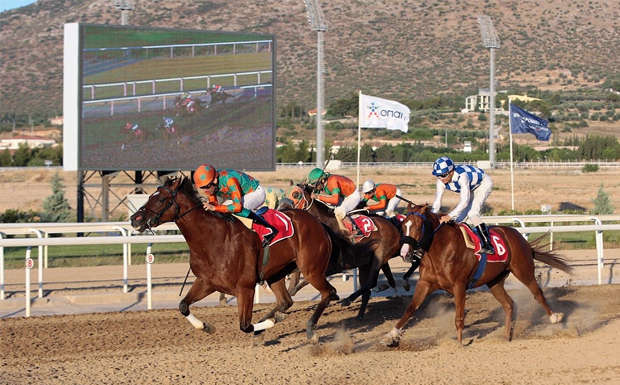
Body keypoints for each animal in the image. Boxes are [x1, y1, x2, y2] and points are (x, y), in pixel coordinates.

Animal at [128, 176, 370, 344]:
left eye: (161, 198)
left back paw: (310, 330)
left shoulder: (244, 288)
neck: (212, 239)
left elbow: (244, 325)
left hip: (312, 269)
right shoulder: (206, 282)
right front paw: (205, 326)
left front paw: (267, 324)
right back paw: (269, 326)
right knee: (286, 301)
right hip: (276, 273)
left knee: (328, 293)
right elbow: (183, 306)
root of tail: (319, 224)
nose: (135, 219)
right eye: (149, 196)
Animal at [278, 182, 402, 318]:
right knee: (374, 282)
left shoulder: (333, 265)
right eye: (284, 193)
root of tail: (392, 227)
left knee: (370, 282)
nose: (280, 210)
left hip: (380, 255)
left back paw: (349, 299)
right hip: (370, 262)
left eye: (296, 194)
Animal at [380, 202, 572, 346]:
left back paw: (555, 317)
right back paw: (505, 337)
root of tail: (519, 236)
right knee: (509, 304)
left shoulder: (459, 286)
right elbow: (410, 309)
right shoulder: (425, 283)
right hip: (495, 282)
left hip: (523, 270)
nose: (405, 253)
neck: (440, 249)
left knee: (537, 293)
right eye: (403, 226)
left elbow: (459, 317)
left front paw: (460, 343)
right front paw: (391, 335)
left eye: (419, 226)